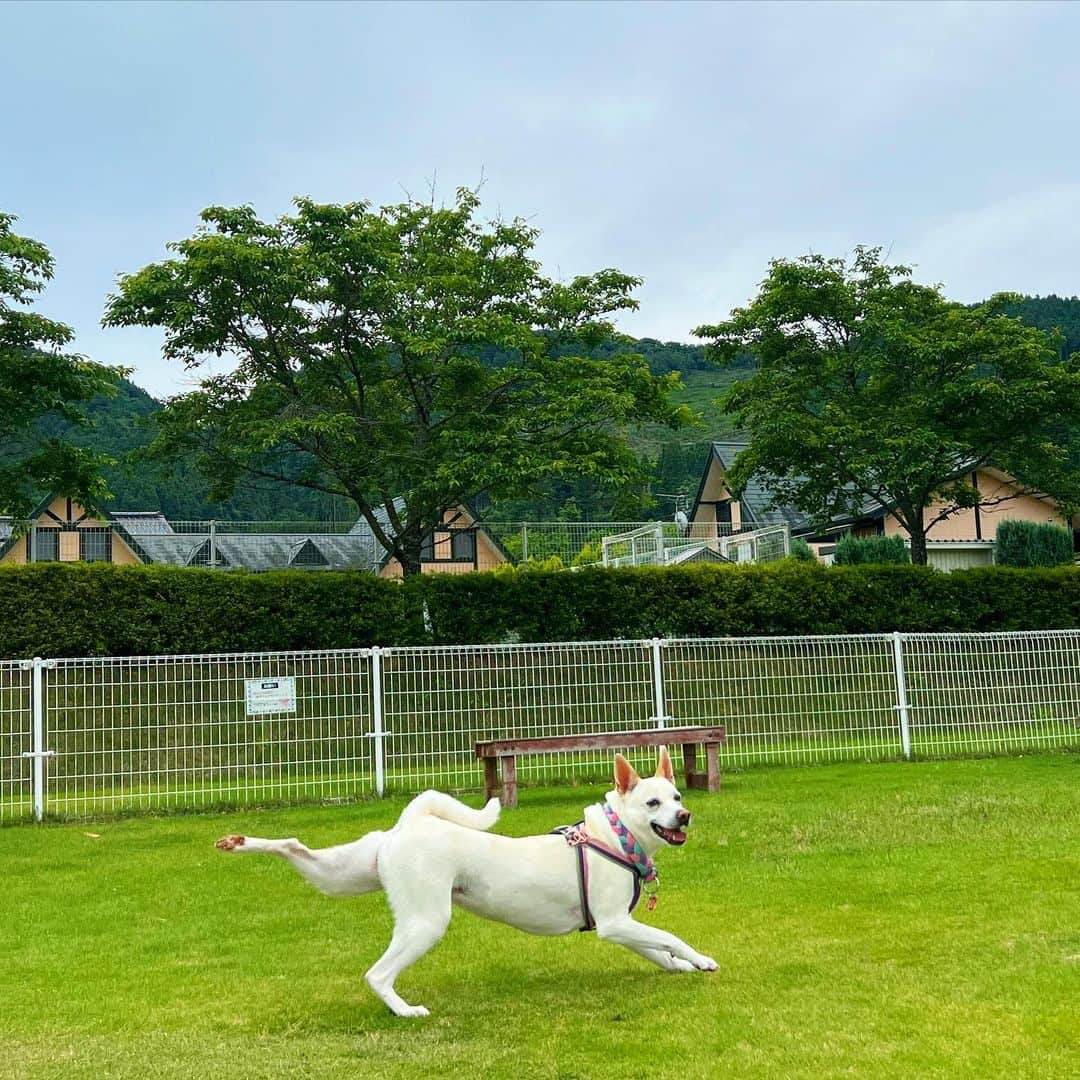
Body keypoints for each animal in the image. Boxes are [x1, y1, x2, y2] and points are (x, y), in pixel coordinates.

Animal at [216, 747, 717, 1015]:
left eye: (677, 796)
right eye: (653, 803)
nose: (685, 816)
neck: (612, 837)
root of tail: (411, 822)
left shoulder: (620, 928)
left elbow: (658, 948)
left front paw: (680, 967)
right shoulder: (615, 924)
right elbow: (671, 936)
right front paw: (703, 960)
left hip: (342, 875)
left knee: (296, 847)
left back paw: (241, 843)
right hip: (426, 922)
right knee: (378, 974)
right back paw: (404, 1010)